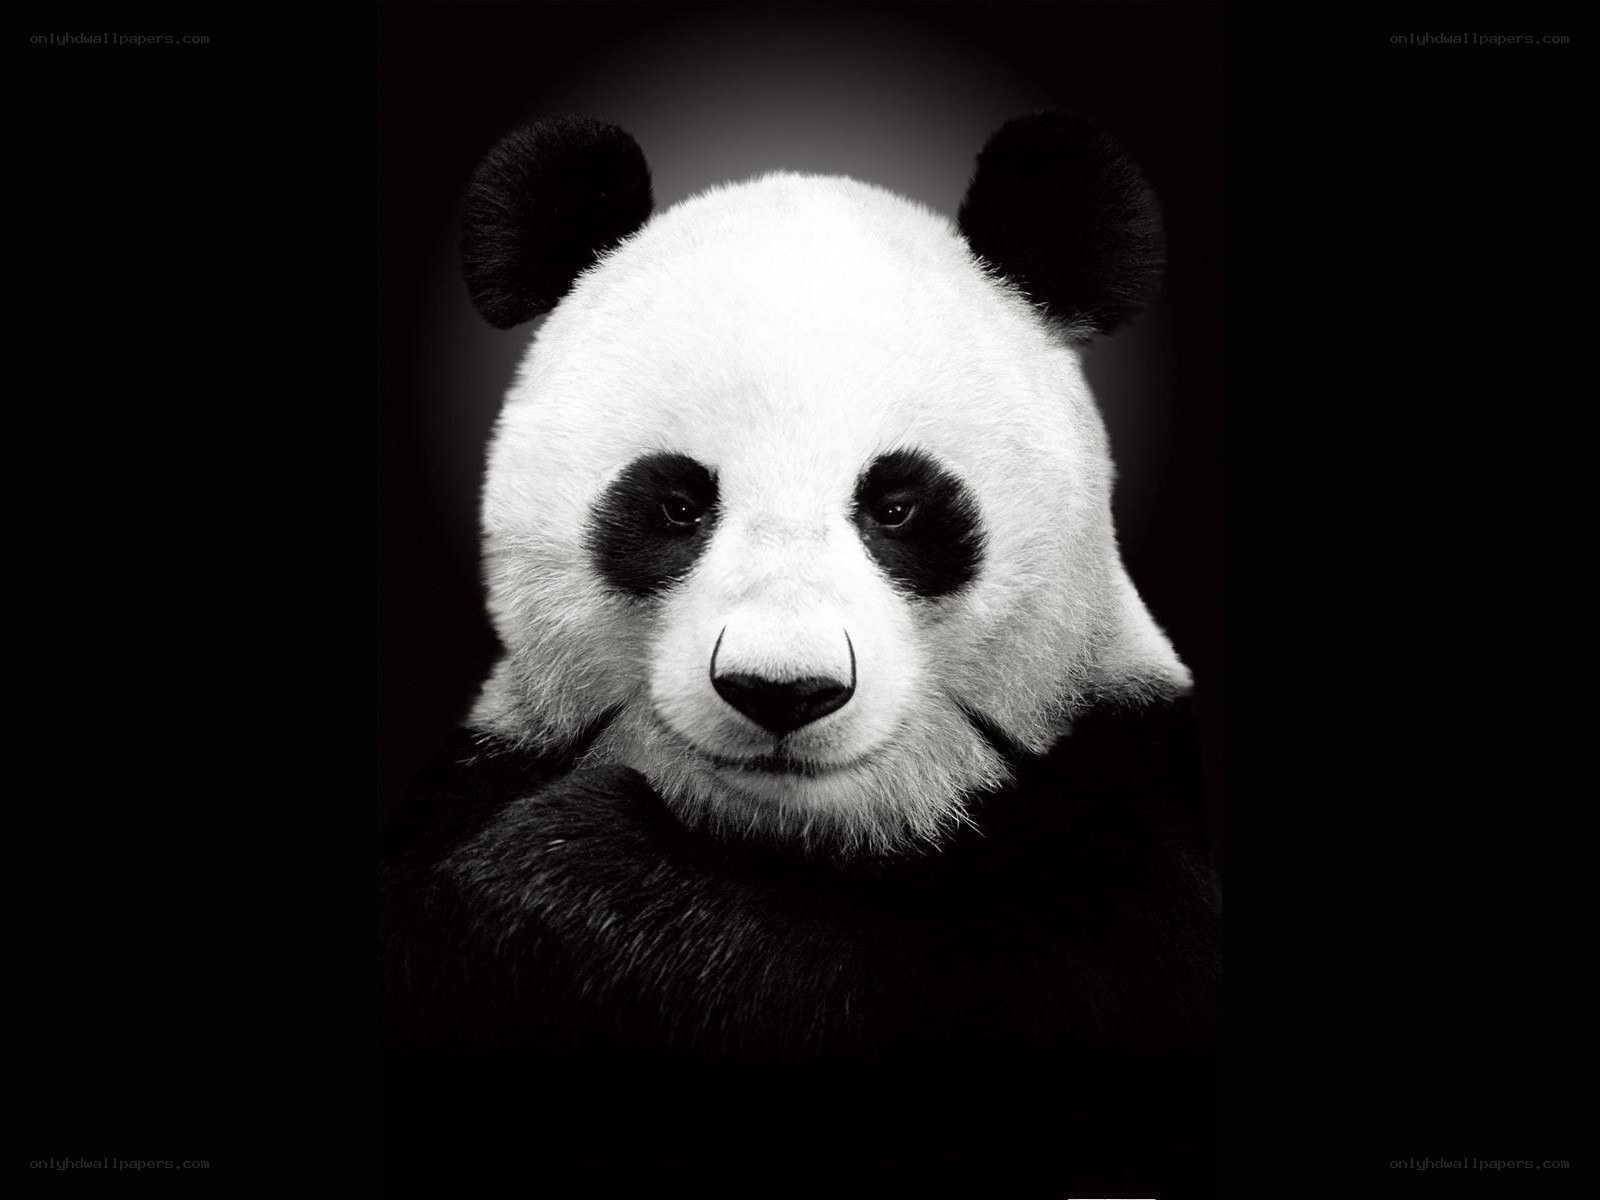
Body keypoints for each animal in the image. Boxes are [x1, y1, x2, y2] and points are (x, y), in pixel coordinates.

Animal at [379, 113, 1220, 1196]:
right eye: (677, 504)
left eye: (897, 506)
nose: (783, 691)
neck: (792, 842)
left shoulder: (1125, 819)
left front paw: (564, 883)